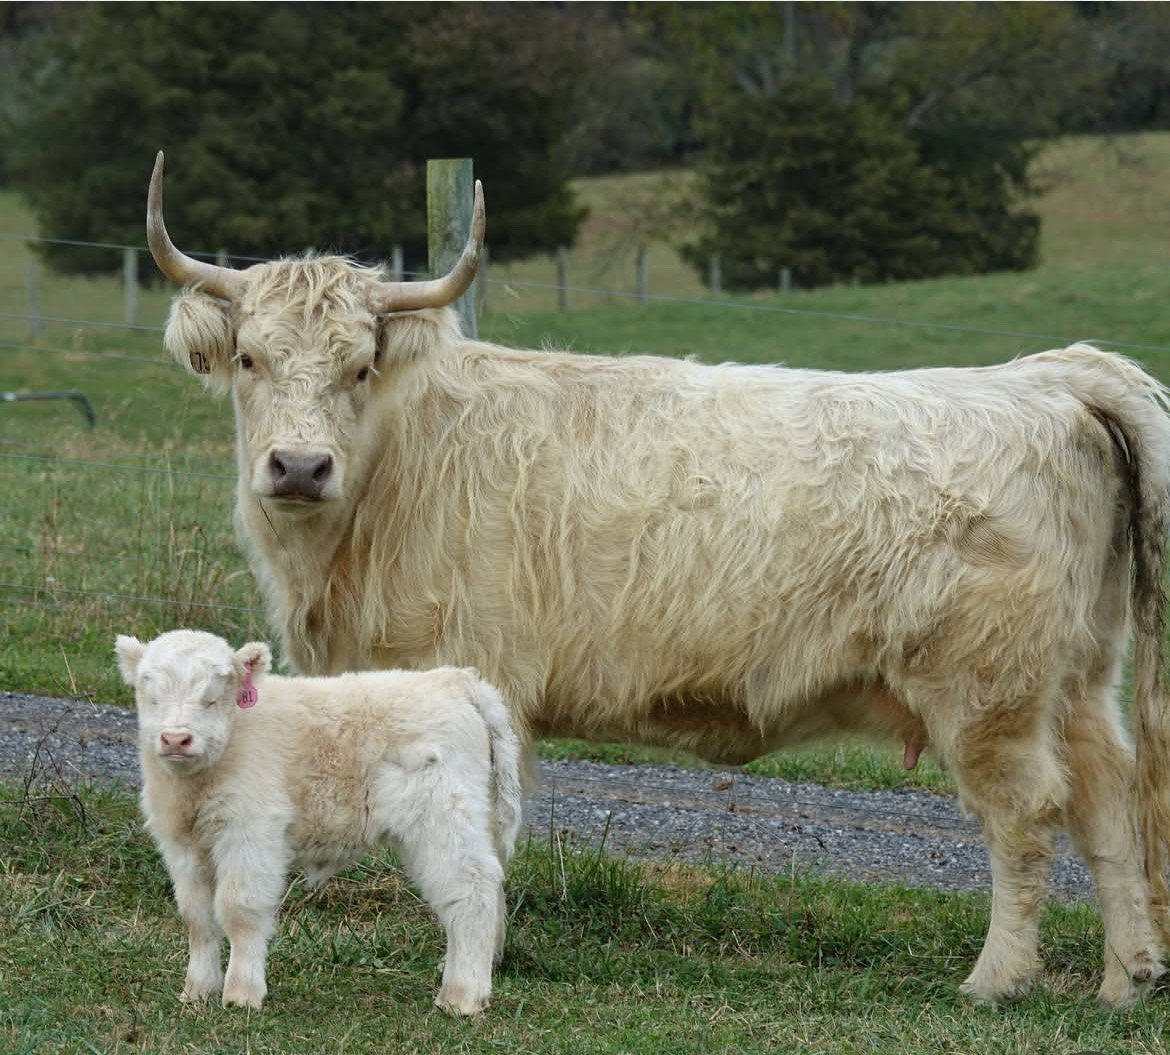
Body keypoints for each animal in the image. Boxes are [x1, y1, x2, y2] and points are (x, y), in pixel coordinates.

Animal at [116, 628, 522, 1016]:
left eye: (212, 697)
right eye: (151, 695)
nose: (176, 739)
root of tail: (454, 679)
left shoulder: (251, 834)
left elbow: (239, 910)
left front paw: (242, 994)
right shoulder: (180, 844)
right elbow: (197, 916)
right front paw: (197, 991)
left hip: (443, 818)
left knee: (470, 890)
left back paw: (462, 997)